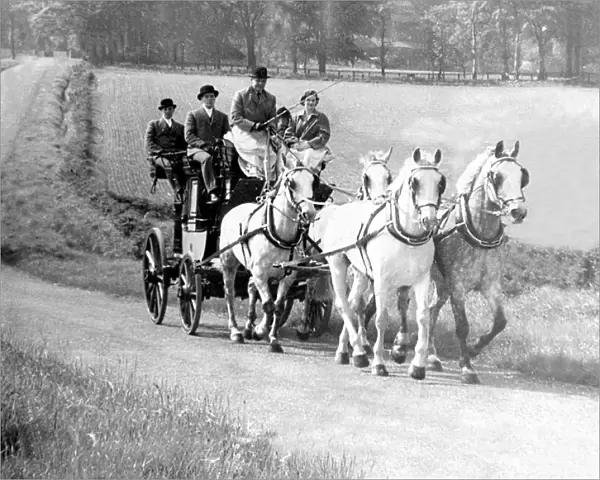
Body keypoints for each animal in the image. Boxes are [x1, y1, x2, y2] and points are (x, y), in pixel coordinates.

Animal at [219, 155, 324, 352]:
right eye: (291, 183)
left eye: (314, 182)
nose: (309, 213)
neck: (279, 235)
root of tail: (233, 209)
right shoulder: (260, 272)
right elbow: (268, 305)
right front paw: (260, 330)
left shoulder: (288, 276)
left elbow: (278, 306)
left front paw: (273, 339)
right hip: (228, 261)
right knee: (229, 292)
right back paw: (236, 330)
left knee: (251, 287)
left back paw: (247, 327)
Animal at [324, 149, 446, 378]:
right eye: (414, 182)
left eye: (440, 182)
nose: (430, 220)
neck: (406, 236)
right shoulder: (381, 280)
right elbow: (381, 318)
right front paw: (379, 363)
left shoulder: (421, 280)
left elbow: (423, 317)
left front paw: (418, 365)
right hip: (337, 264)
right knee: (343, 304)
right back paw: (358, 353)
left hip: (361, 272)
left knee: (352, 304)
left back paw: (348, 351)